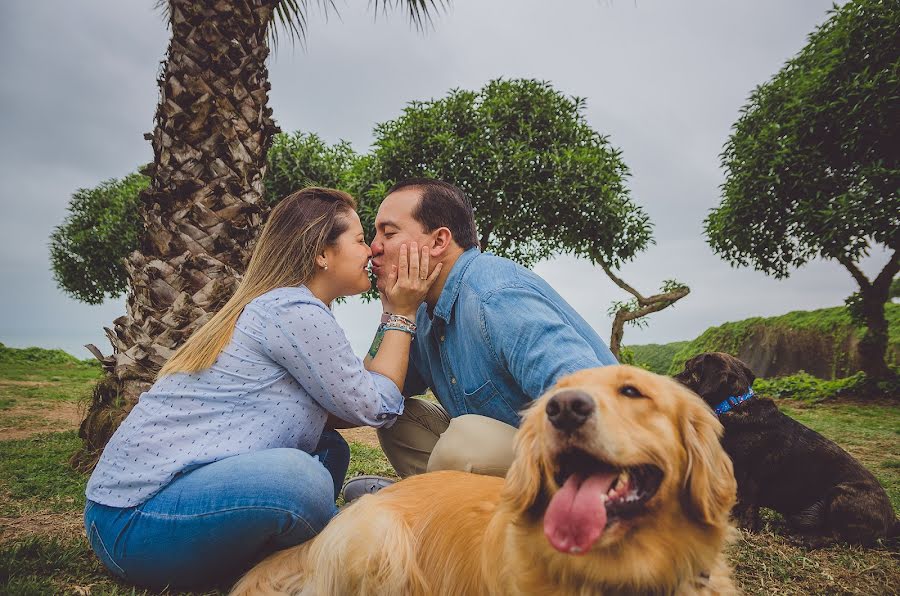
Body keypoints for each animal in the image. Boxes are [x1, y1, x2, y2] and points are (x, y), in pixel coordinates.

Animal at [680, 352, 896, 548]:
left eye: (689, 369)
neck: (731, 405)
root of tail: (893, 521)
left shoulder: (745, 481)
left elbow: (744, 509)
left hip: (841, 495)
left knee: (837, 534)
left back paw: (806, 539)